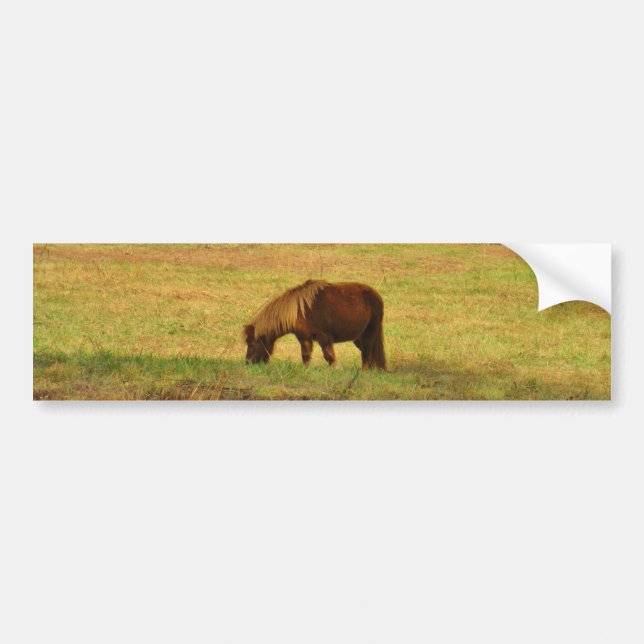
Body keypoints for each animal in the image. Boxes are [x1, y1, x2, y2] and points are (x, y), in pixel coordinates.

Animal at [243, 279, 386, 370]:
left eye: (251, 344)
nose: (248, 363)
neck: (299, 310)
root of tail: (376, 296)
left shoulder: (324, 338)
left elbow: (329, 356)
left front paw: (336, 369)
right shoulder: (305, 339)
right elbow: (306, 357)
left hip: (369, 335)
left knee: (367, 355)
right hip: (358, 338)